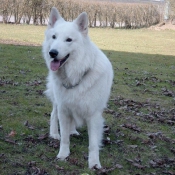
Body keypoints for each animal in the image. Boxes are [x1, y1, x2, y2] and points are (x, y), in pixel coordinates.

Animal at [42, 7, 113, 169]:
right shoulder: (63, 109)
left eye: (69, 40)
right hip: (58, 102)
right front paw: (63, 155)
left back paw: (73, 130)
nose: (52, 53)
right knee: (53, 114)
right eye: (54, 37)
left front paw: (94, 164)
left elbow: (93, 144)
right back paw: (54, 133)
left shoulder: (93, 115)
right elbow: (64, 138)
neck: (76, 74)